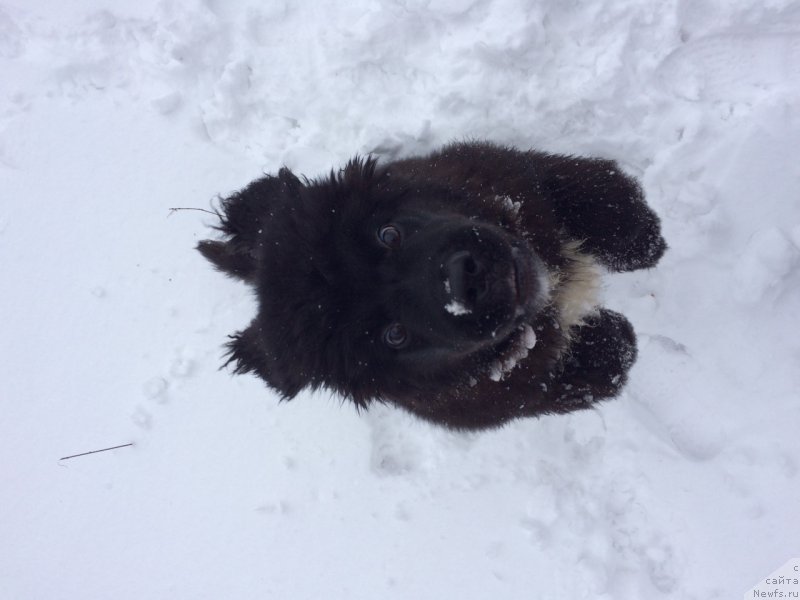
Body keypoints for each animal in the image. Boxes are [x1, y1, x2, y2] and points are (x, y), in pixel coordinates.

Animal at [198, 142, 664, 428]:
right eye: (393, 335)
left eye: (387, 234)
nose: (465, 281)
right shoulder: (522, 391)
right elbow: (589, 369)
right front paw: (616, 341)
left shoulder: (516, 180)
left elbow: (588, 193)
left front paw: (644, 237)